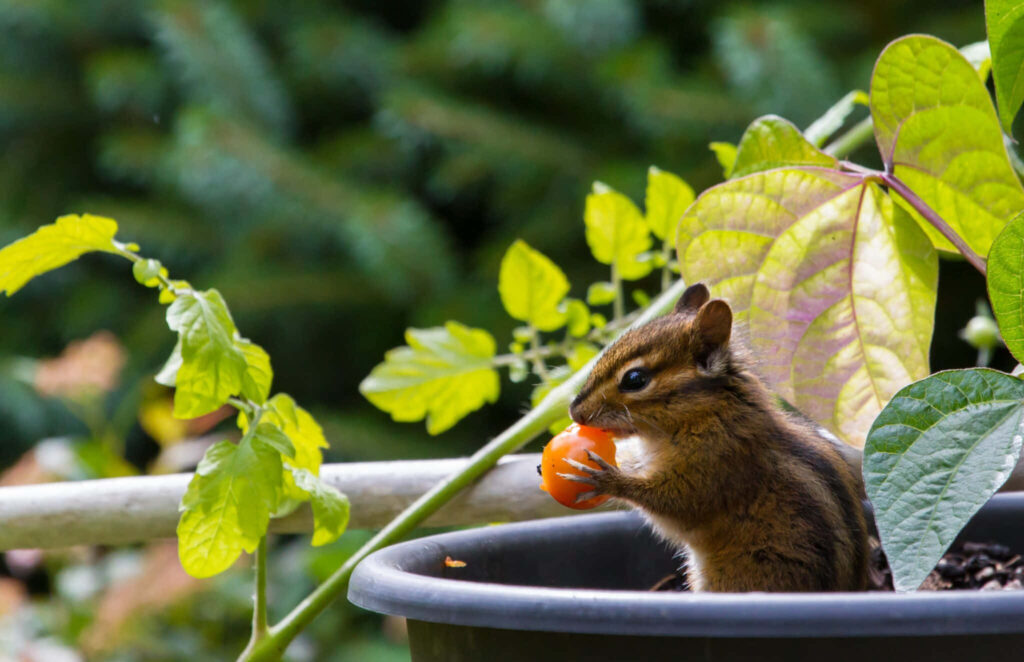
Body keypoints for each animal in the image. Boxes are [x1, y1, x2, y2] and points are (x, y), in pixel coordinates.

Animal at [562, 283, 869, 592]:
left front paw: (605, 478)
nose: (575, 411)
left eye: (635, 379)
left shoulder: (714, 467)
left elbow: (676, 505)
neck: (709, 413)